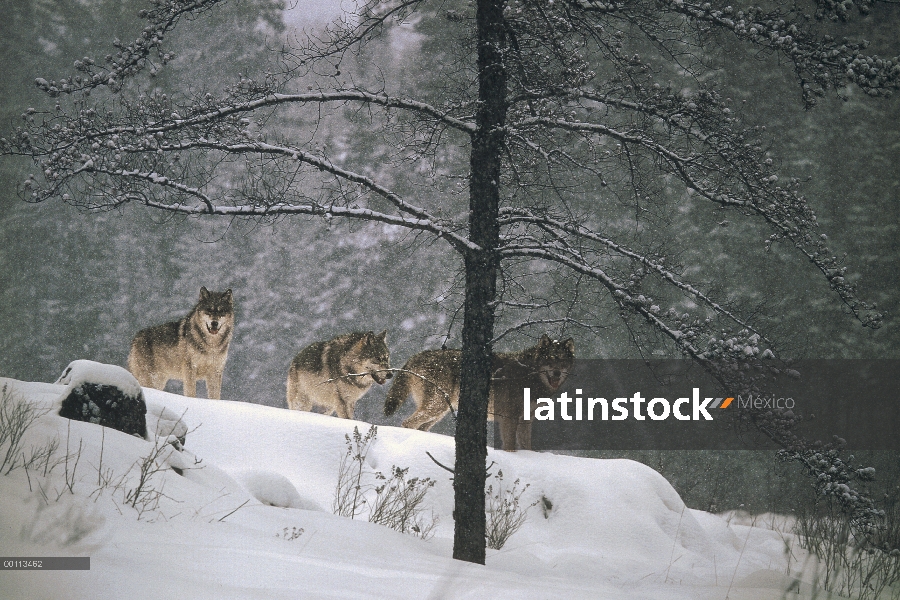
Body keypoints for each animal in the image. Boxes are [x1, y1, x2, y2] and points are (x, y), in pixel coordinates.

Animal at [384, 332, 572, 450]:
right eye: (549, 360)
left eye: (562, 361)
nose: (557, 373)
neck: (528, 375)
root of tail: (415, 356)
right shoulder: (509, 418)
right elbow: (510, 446)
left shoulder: (526, 420)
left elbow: (528, 447)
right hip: (436, 407)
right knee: (407, 423)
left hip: (439, 412)